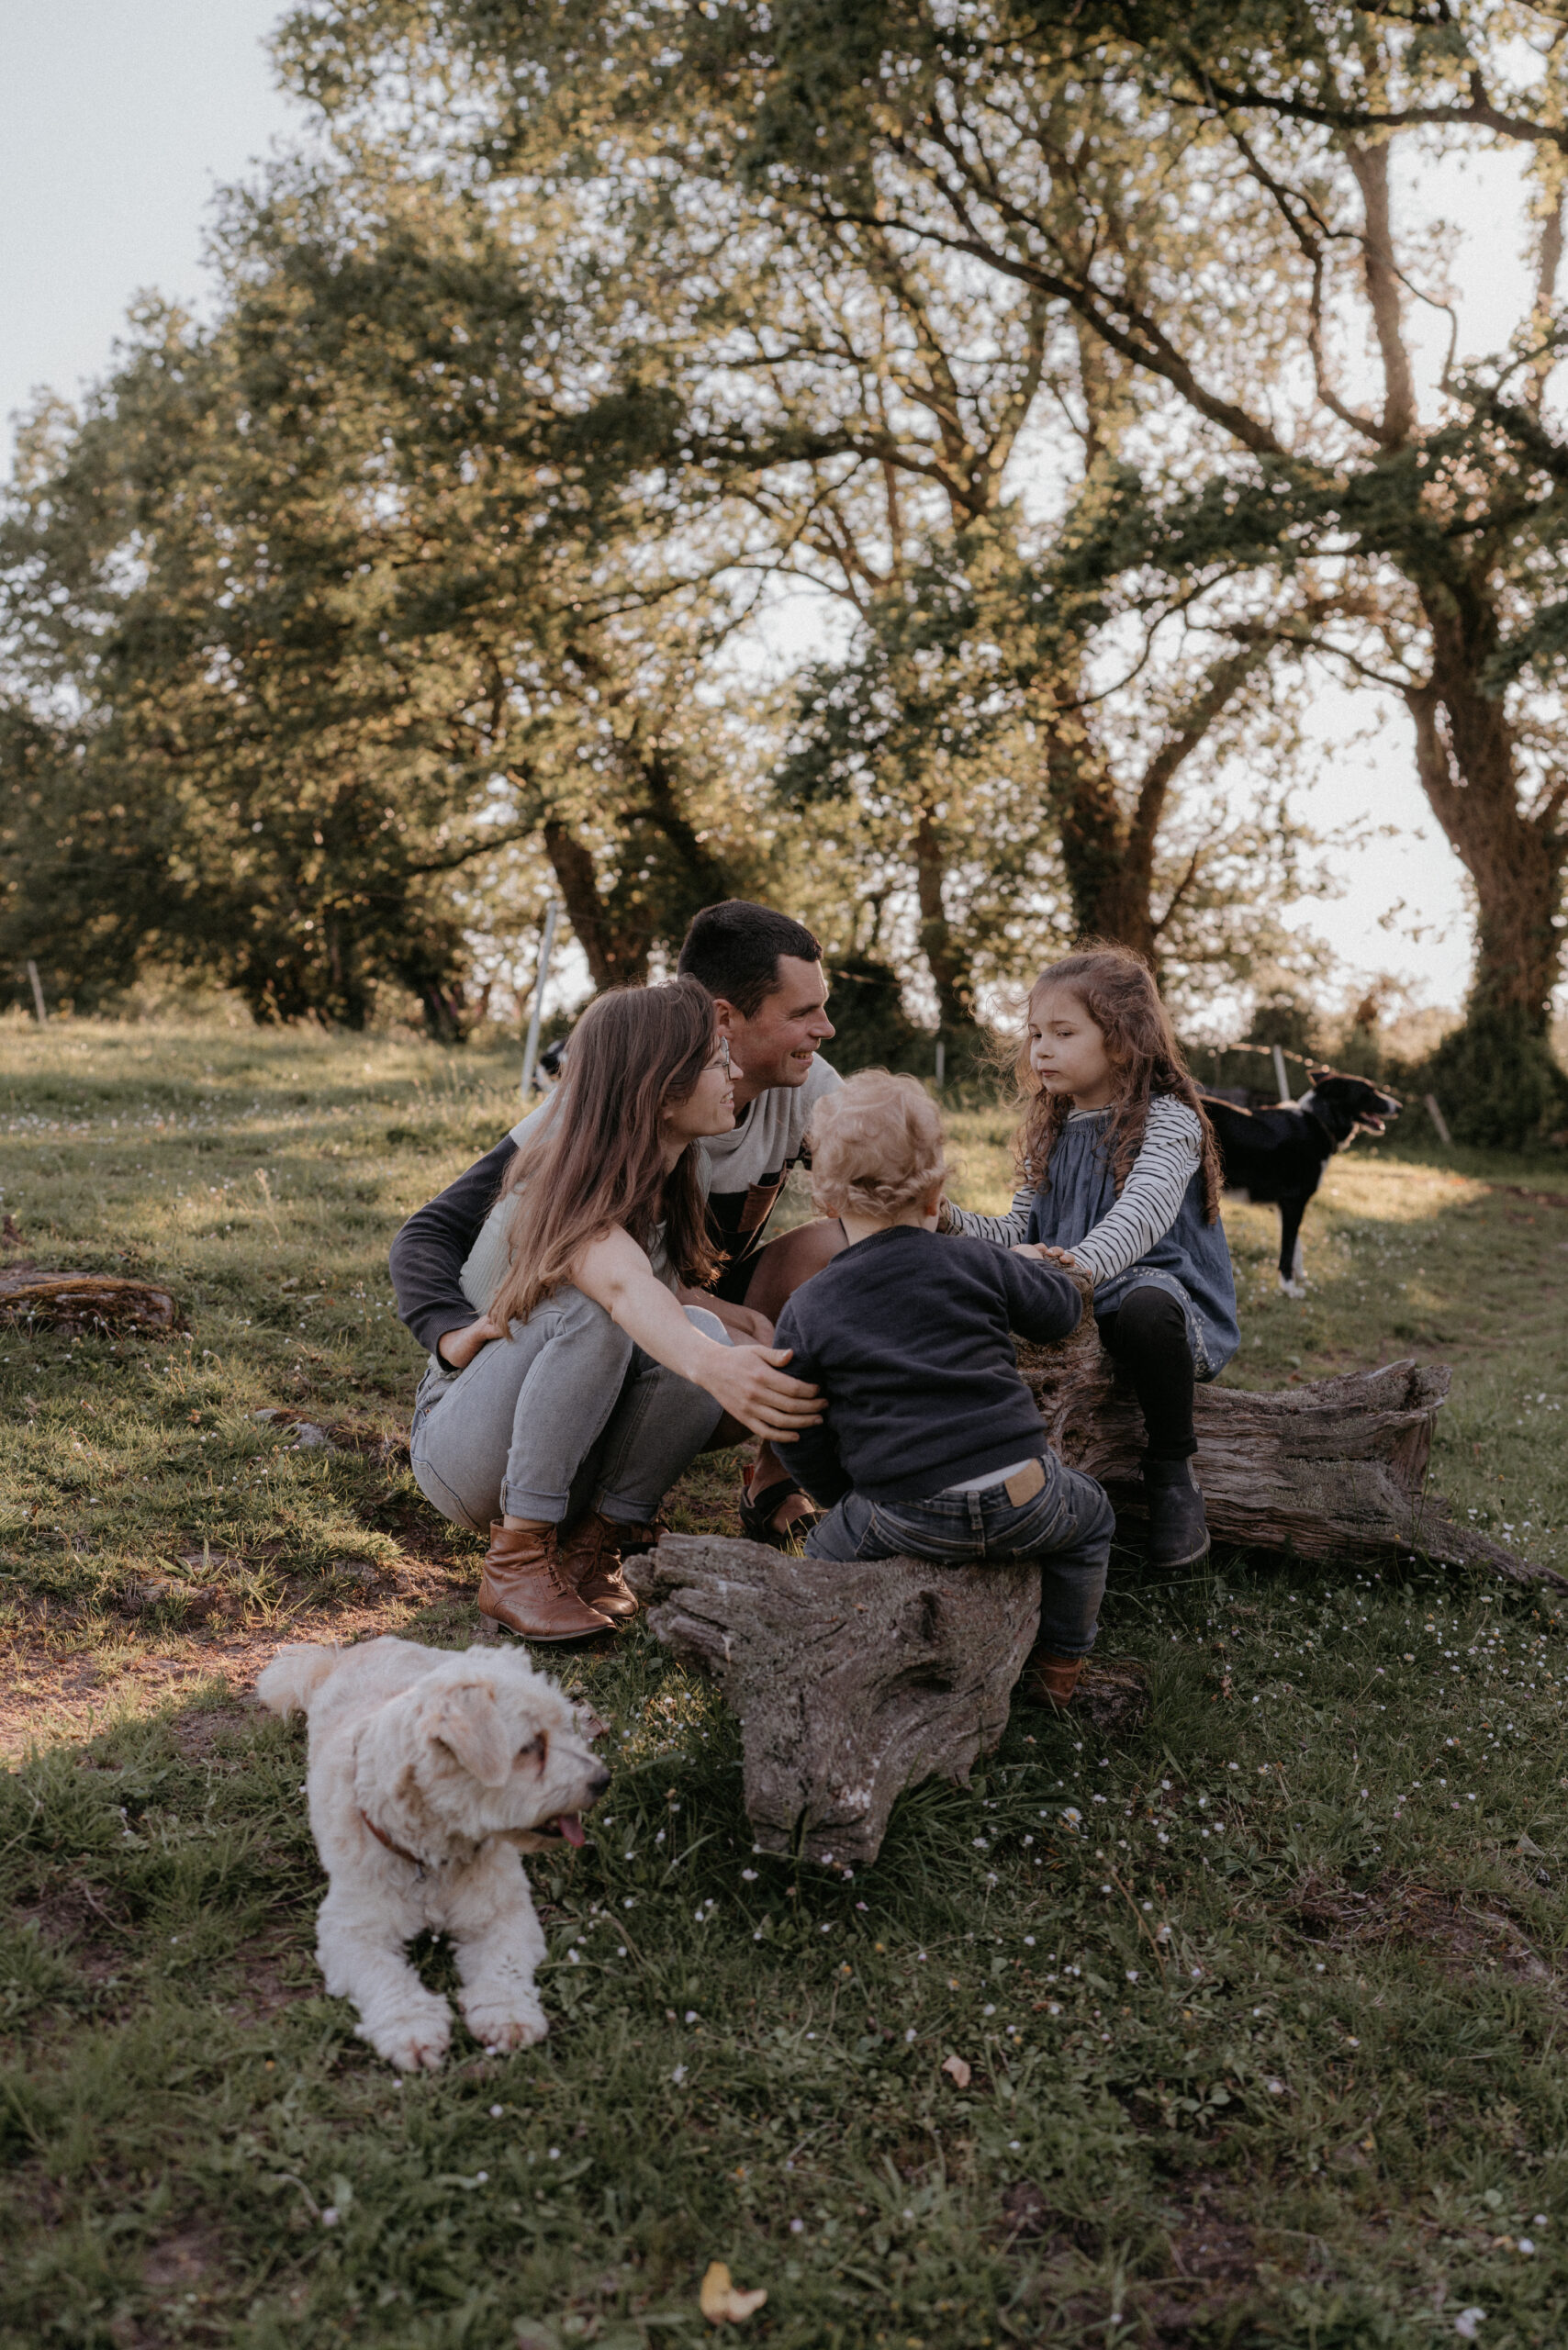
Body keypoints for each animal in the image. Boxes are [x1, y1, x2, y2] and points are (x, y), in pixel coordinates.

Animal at [257, 1645, 606, 2067]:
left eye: (561, 1729)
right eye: (529, 1746)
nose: (603, 1781)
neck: (433, 1854)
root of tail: (352, 1651)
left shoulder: (502, 1913)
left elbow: (503, 1965)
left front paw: (506, 2013)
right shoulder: (350, 1931)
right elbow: (385, 1975)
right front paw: (411, 2028)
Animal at [1193, 1076, 1401, 1297]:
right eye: (1369, 1092)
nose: (1399, 1107)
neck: (1319, 1121)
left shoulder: (1285, 1205)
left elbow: (1296, 1245)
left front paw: (1300, 1276)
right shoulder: (1294, 1202)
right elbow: (1288, 1246)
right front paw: (1289, 1287)